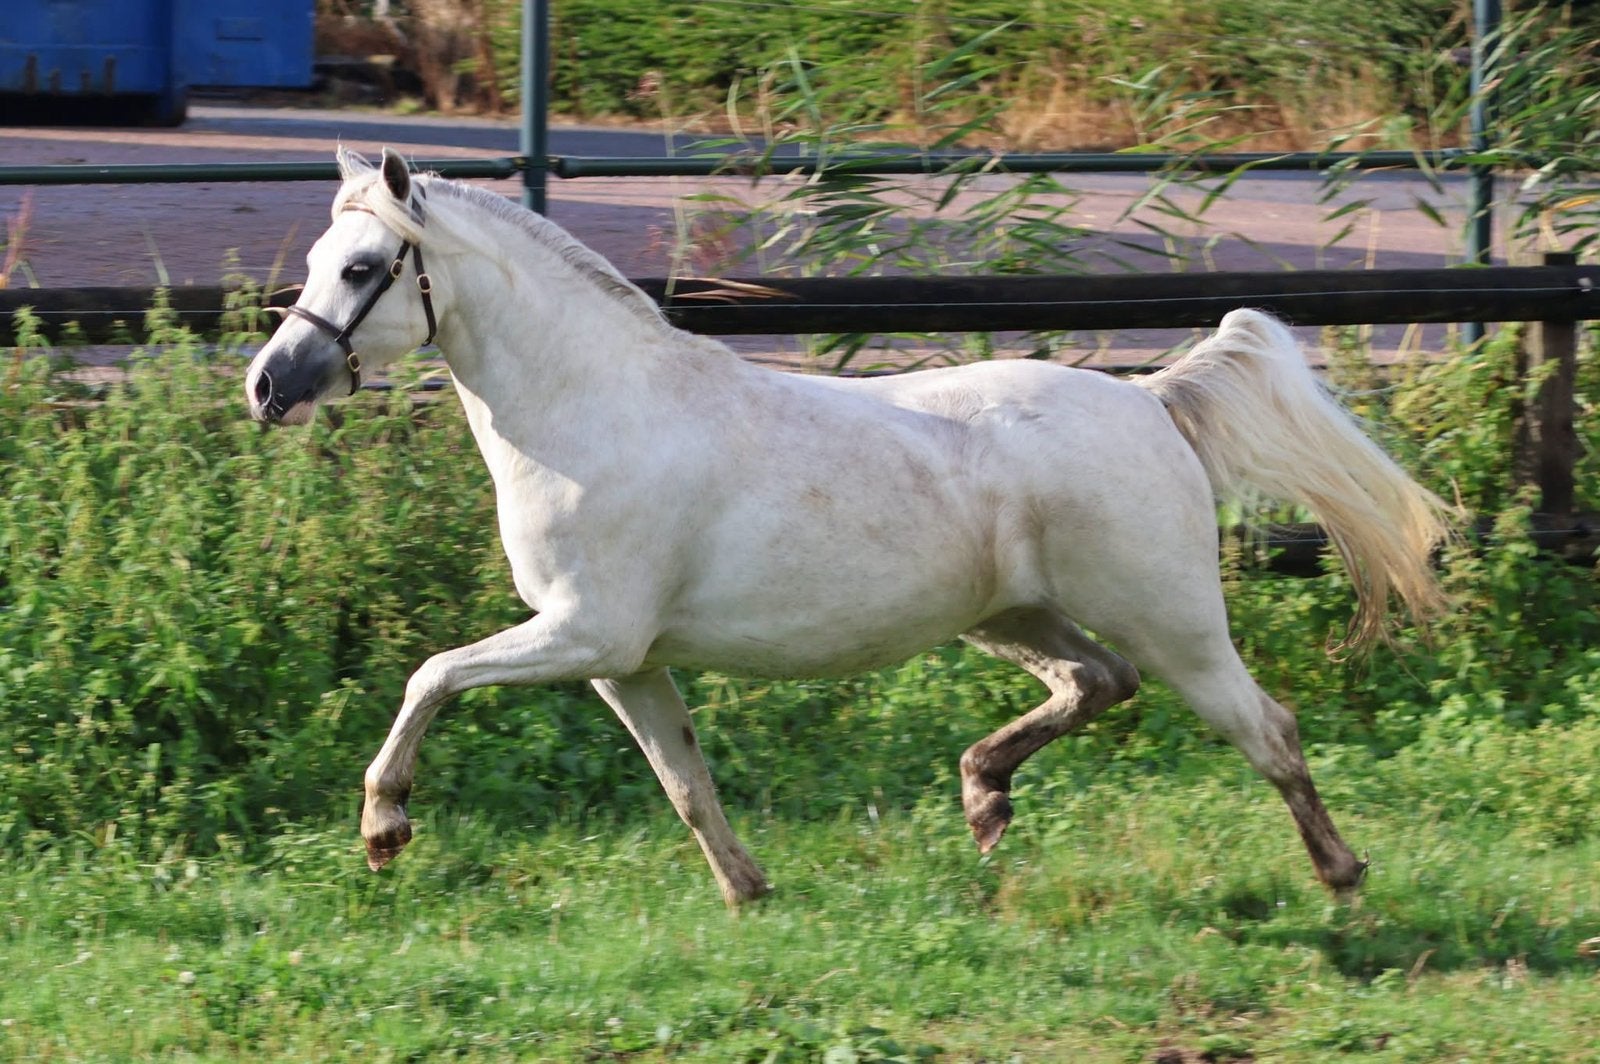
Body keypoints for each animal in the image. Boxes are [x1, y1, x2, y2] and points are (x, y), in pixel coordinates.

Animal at [244, 148, 1450, 907]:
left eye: (363, 268)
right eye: (311, 264)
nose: (268, 386)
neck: (591, 412)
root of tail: (1150, 398)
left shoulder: (582, 633)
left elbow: (431, 674)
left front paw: (384, 828)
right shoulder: (622, 659)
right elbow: (685, 781)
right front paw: (748, 891)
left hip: (1174, 620)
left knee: (1265, 727)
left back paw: (1344, 878)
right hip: (1014, 616)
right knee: (1095, 682)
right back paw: (983, 796)